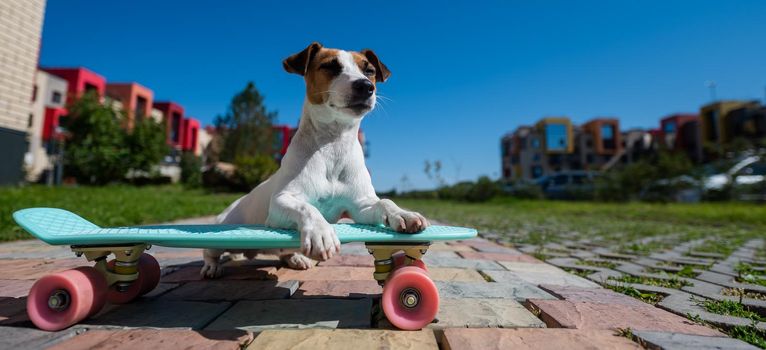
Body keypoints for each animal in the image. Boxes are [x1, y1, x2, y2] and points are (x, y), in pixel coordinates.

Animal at [202, 42, 432, 278]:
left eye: (369, 70)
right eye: (330, 66)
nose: (366, 86)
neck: (333, 145)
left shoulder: (361, 206)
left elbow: (384, 202)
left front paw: (403, 214)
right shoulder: (281, 202)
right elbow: (307, 208)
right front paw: (321, 233)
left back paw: (296, 258)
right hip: (222, 234)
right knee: (210, 251)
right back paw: (212, 266)